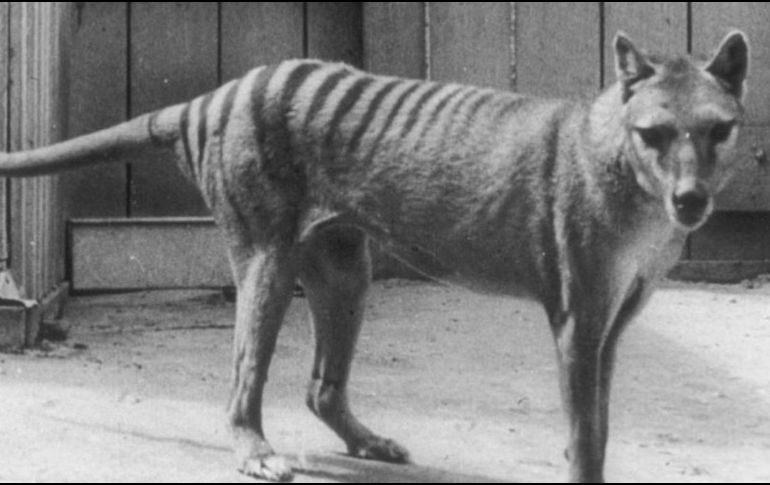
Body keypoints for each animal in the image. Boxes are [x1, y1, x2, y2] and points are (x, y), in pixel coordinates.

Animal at [0, 31, 749, 482]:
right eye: (654, 133)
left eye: (718, 130)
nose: (690, 200)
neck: (614, 159)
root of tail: (213, 98)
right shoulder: (576, 321)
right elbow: (587, 431)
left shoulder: (610, 327)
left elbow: (600, 422)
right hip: (267, 260)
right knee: (244, 377)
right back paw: (254, 449)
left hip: (343, 270)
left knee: (320, 386)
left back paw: (367, 442)